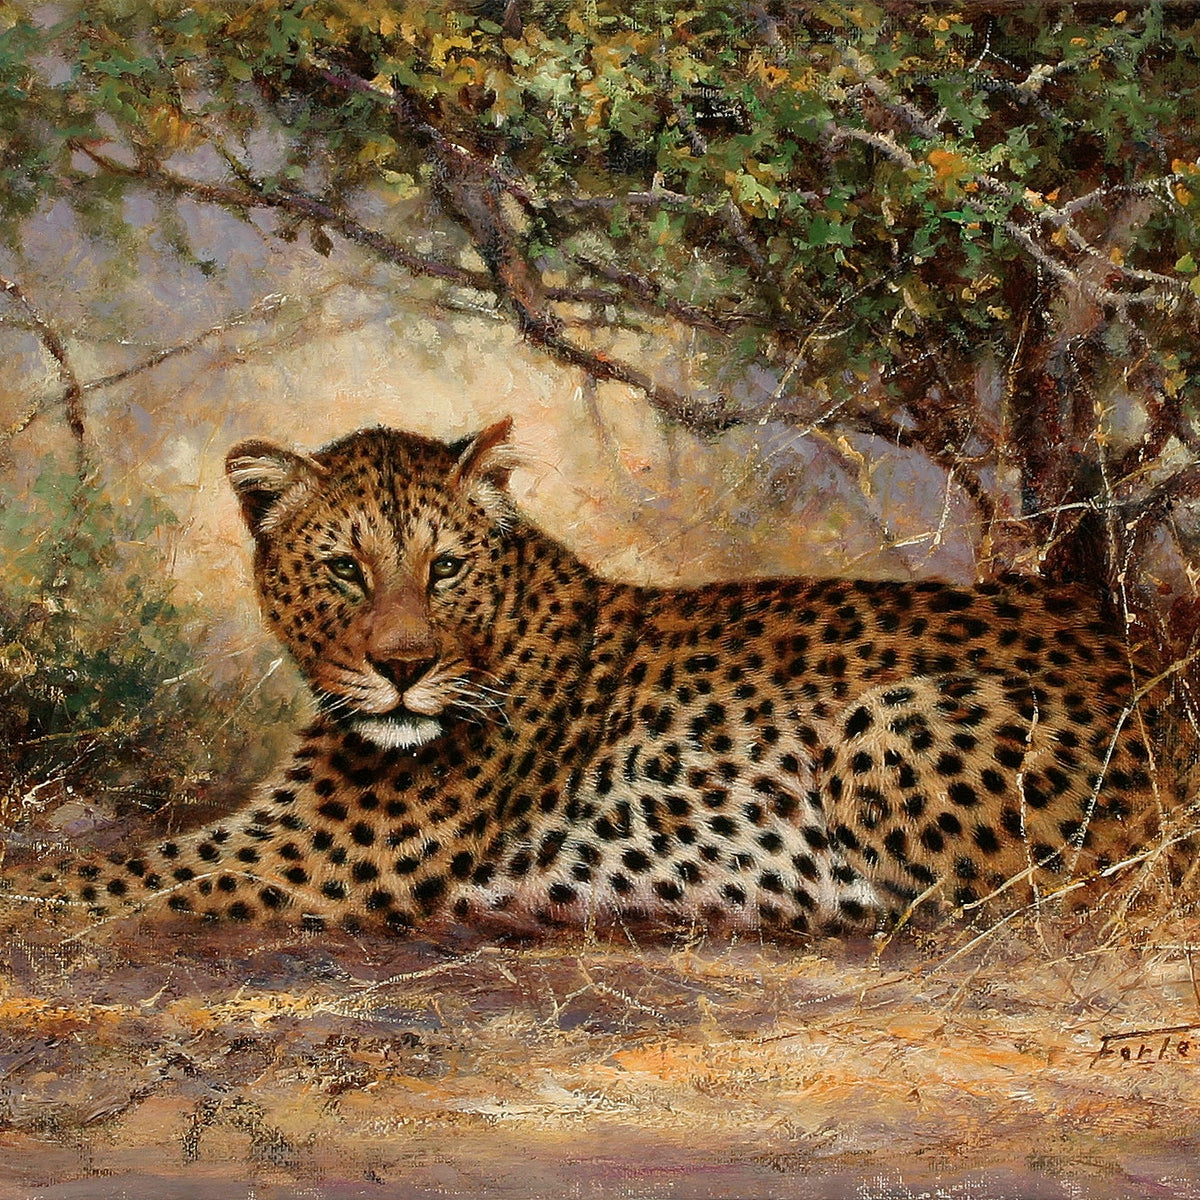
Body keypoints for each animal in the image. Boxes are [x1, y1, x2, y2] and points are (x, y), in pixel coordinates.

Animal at [7, 417, 1195, 939]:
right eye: (345, 568)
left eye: (444, 568)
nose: (403, 669)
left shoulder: (303, 854)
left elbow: (101, 876)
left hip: (895, 719)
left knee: (1050, 900)